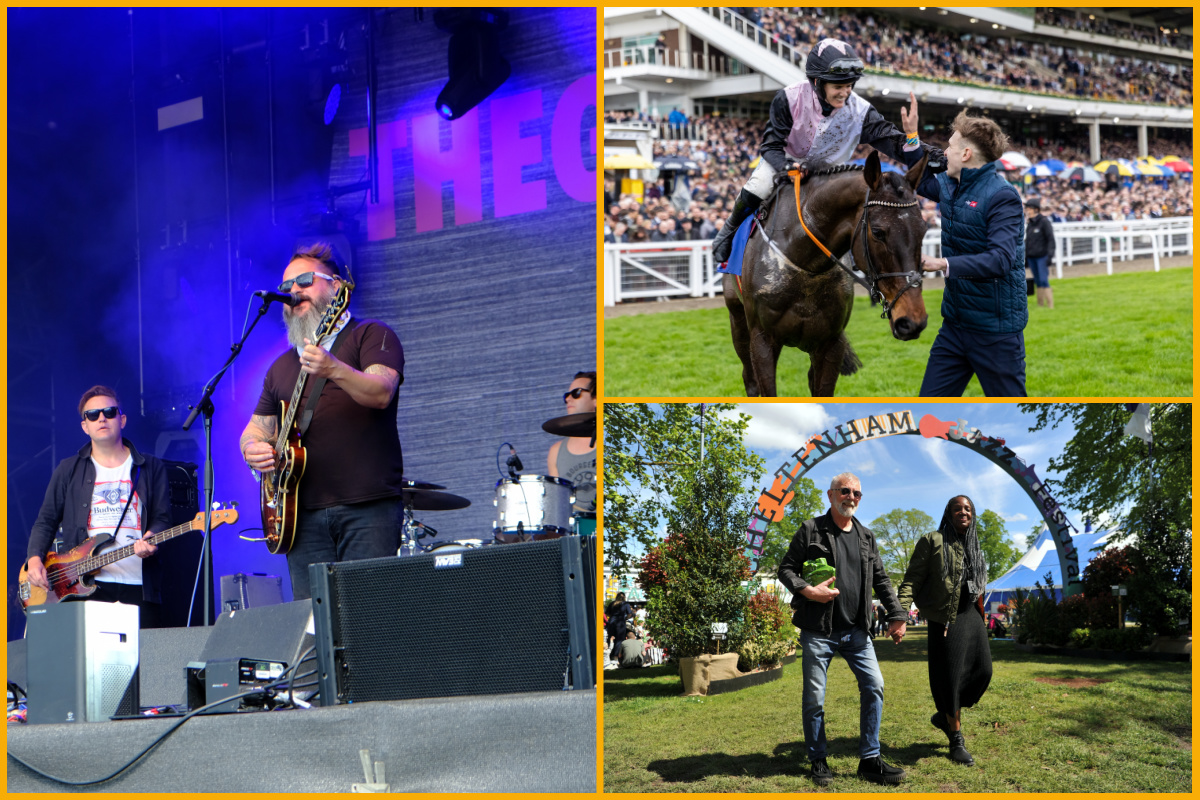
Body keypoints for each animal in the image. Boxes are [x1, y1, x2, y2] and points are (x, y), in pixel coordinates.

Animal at [720, 148, 926, 398]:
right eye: (878, 232)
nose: (912, 321)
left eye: (924, 230)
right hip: (737, 319)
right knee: (749, 379)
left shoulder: (830, 343)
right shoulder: (762, 340)